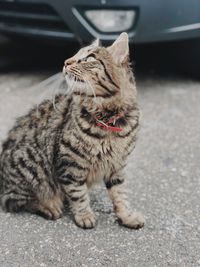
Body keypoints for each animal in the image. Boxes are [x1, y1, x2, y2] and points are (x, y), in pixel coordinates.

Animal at [0, 32, 145, 229]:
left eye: (88, 58)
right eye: (76, 55)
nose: (66, 62)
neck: (109, 119)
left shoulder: (117, 165)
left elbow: (120, 194)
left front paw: (126, 216)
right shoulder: (70, 164)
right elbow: (78, 194)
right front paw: (85, 216)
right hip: (31, 168)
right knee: (14, 200)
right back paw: (50, 206)